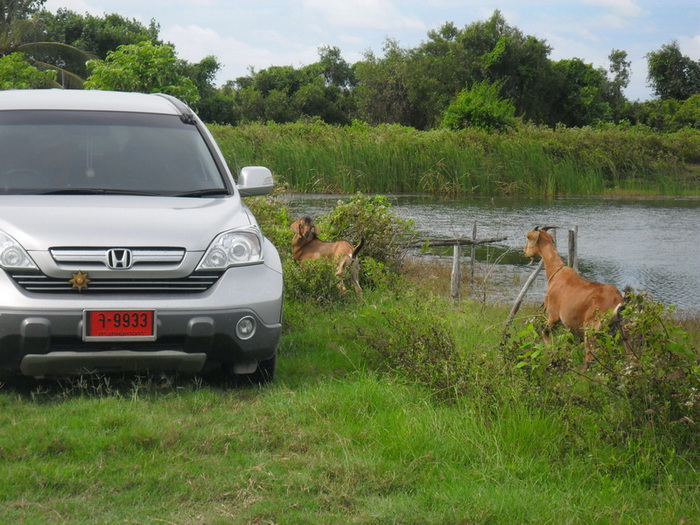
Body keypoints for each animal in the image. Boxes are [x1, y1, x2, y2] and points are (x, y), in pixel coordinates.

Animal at [524, 226, 628, 368]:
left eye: (528, 237)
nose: (524, 251)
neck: (556, 272)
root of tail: (618, 301)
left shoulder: (553, 315)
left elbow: (545, 333)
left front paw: (549, 353)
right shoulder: (569, 326)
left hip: (592, 329)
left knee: (590, 357)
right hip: (618, 330)